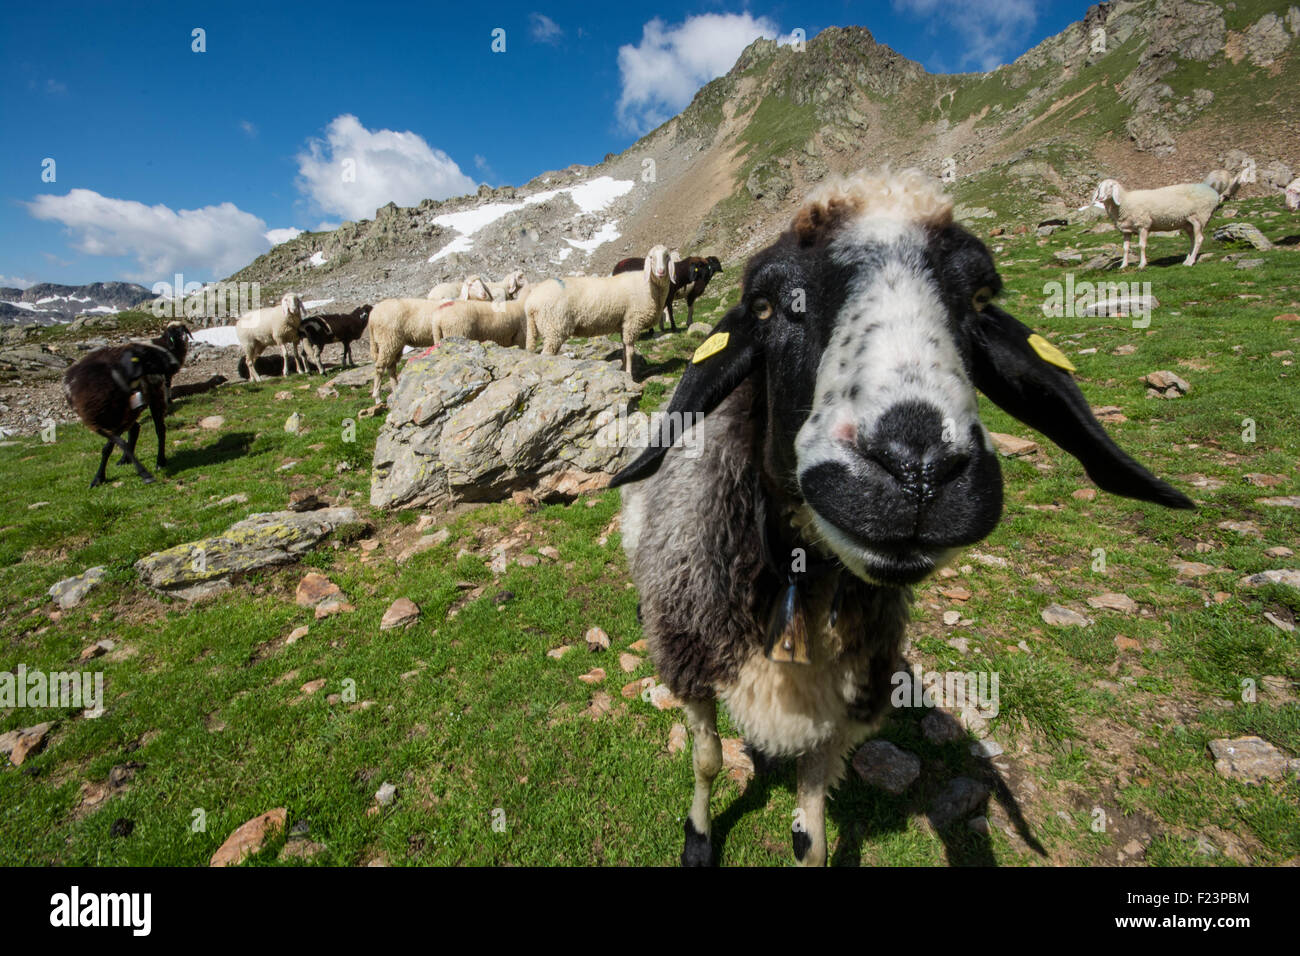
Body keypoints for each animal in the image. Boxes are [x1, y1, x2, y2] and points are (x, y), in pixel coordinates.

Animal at [522, 247, 676, 377]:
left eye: (666, 256)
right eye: (651, 257)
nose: (661, 272)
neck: (649, 287)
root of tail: (530, 302)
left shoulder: (624, 323)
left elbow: (624, 350)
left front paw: (622, 370)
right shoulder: (632, 322)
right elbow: (630, 352)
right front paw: (629, 374)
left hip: (540, 328)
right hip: (554, 327)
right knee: (546, 355)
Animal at [613, 166, 1190, 868]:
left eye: (980, 297)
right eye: (765, 304)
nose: (917, 470)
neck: (797, 584)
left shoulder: (839, 710)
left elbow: (811, 836)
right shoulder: (690, 658)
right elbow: (707, 761)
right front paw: (697, 840)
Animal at [1092, 178, 1222, 269]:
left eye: (1110, 186)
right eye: (1100, 187)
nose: (1100, 198)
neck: (1124, 202)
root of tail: (1214, 193)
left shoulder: (1143, 225)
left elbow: (1141, 245)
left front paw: (1142, 264)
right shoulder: (1126, 230)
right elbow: (1125, 248)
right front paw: (1123, 265)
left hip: (1199, 217)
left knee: (1199, 239)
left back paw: (1191, 262)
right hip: (1188, 223)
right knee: (1193, 240)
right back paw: (1187, 260)